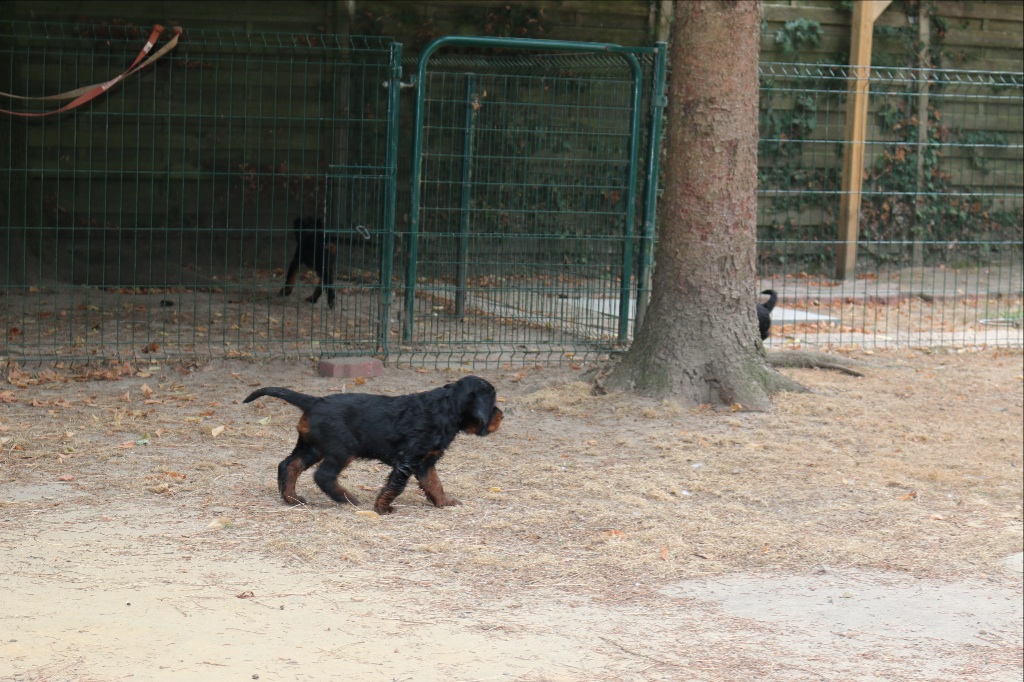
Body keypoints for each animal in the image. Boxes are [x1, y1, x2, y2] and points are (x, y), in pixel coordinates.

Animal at [241, 374, 501, 512]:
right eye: (492, 403)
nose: (501, 416)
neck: (446, 408)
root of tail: (314, 401)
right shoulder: (408, 459)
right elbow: (396, 485)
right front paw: (383, 508)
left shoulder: (425, 462)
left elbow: (434, 483)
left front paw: (444, 502)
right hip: (342, 448)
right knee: (323, 475)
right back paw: (346, 498)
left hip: (311, 446)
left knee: (289, 465)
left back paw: (292, 498)